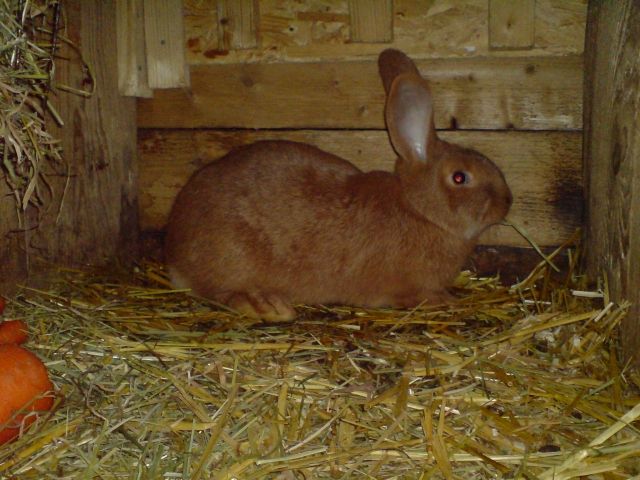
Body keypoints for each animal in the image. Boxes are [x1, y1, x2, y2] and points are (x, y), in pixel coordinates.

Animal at [165, 48, 513, 321]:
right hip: (233, 257)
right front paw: (445, 300)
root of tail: (176, 251)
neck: (421, 212)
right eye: (459, 177)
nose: (507, 202)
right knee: (218, 292)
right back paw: (267, 306)